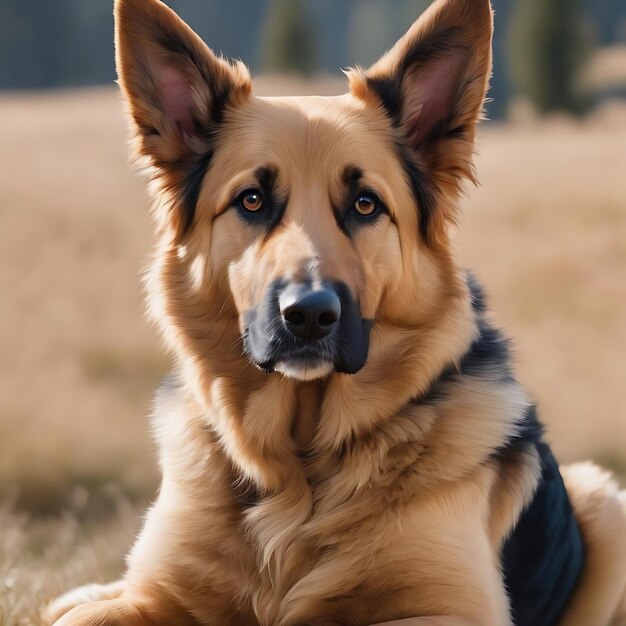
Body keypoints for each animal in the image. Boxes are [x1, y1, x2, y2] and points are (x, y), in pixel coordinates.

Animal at [44, 1, 624, 624]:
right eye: (252, 200)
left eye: (365, 205)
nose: (308, 315)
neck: (297, 472)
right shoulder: (155, 596)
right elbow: (90, 612)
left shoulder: (457, 611)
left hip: (602, 499)